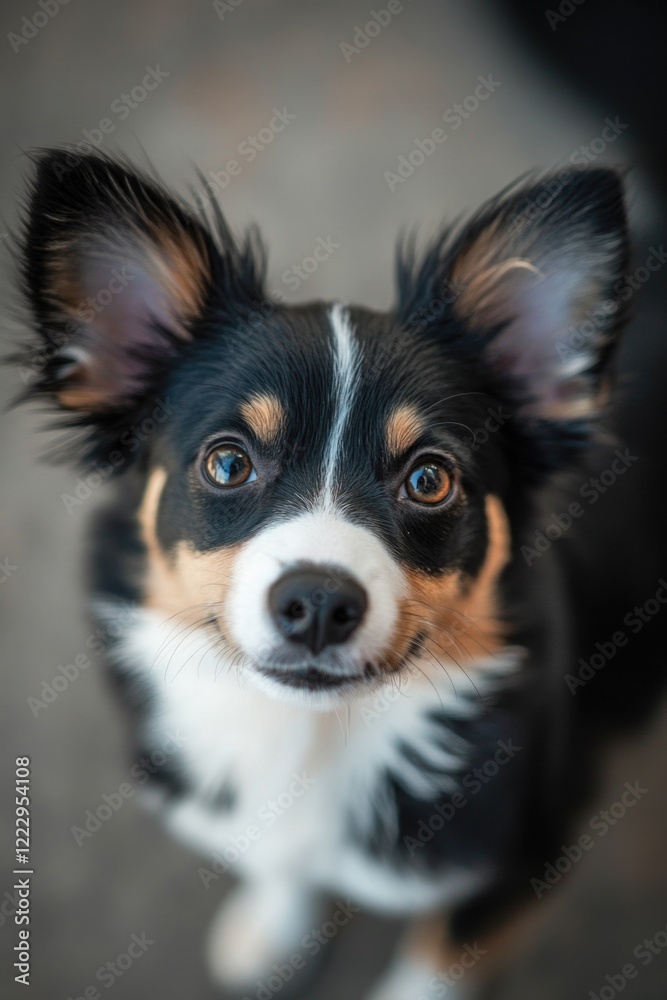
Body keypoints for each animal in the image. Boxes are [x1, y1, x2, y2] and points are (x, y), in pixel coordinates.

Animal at [14, 152, 632, 996]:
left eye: (428, 479)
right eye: (228, 462)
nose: (315, 603)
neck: (314, 733)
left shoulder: (524, 854)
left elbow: (438, 960)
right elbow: (280, 862)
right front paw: (274, 931)